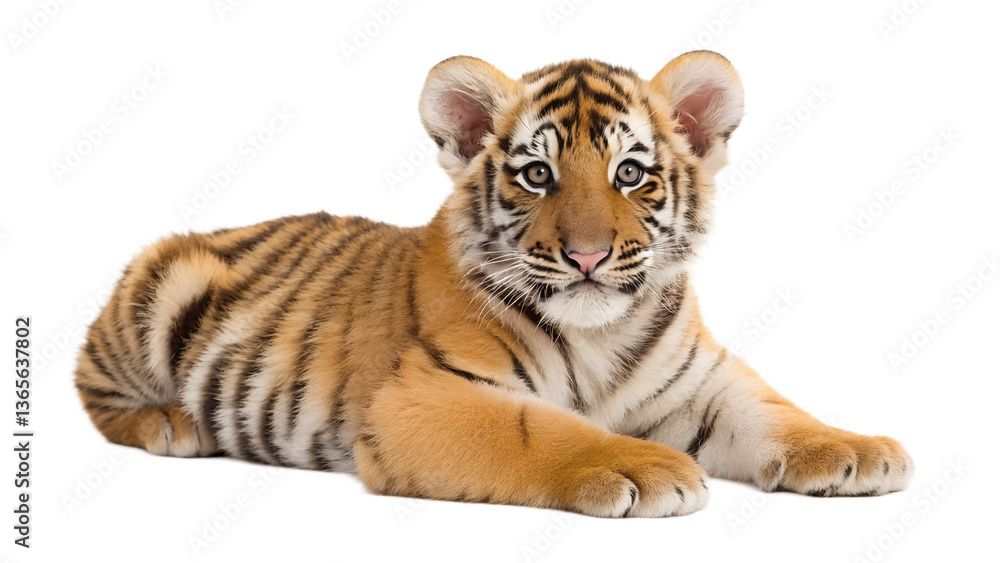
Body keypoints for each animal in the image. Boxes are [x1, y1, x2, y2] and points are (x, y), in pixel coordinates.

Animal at [74, 51, 912, 517]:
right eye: (537, 175)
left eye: (630, 174)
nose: (587, 256)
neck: (600, 331)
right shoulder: (425, 394)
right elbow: (539, 427)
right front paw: (643, 466)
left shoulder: (702, 380)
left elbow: (774, 410)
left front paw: (857, 449)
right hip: (158, 295)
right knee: (94, 392)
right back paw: (173, 424)